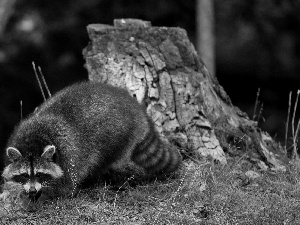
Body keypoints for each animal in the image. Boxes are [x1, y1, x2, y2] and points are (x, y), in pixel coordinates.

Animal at [1, 81, 182, 200]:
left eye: (39, 174)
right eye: (24, 175)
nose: (32, 190)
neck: (33, 142)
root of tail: (137, 111)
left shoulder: (68, 151)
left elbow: (67, 186)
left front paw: (45, 195)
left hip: (116, 136)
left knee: (100, 160)